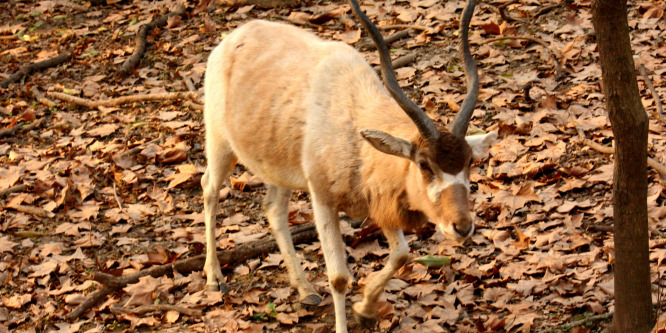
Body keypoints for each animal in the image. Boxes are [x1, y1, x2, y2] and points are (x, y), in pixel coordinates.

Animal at [197, 0, 492, 328]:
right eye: (424, 164)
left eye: (469, 161)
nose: (462, 227)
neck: (354, 123)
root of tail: (236, 36)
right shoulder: (323, 200)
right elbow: (338, 277)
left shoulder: (378, 200)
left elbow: (401, 254)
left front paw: (365, 309)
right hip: (220, 142)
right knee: (209, 188)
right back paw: (214, 278)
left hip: (277, 165)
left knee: (273, 209)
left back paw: (305, 290)